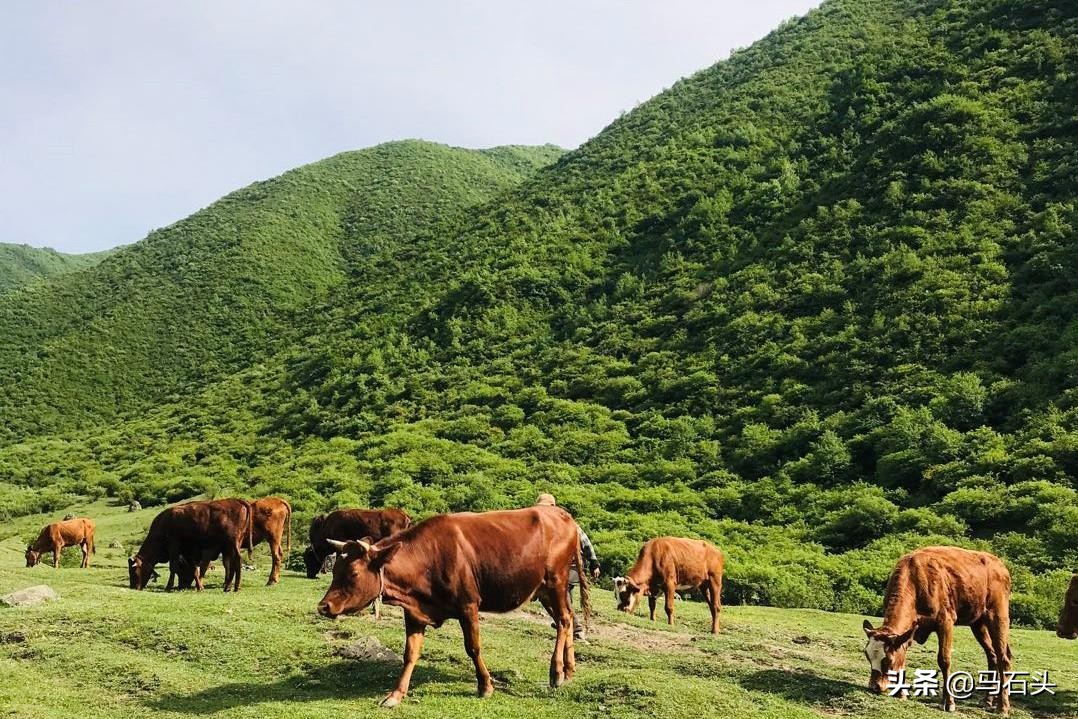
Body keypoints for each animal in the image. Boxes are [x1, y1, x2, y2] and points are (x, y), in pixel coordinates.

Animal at [314, 506, 595, 707]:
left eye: (352, 573)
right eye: (335, 569)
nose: (324, 606)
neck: (428, 560)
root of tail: (563, 516)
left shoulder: (468, 605)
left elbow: (473, 647)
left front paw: (485, 686)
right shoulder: (414, 613)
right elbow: (409, 654)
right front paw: (396, 694)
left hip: (557, 581)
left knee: (564, 620)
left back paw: (556, 673)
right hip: (543, 590)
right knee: (567, 618)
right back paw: (569, 670)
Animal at [858, 547, 1009, 711]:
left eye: (887, 661)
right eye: (867, 656)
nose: (875, 686)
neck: (914, 579)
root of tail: (999, 565)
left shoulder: (945, 621)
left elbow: (944, 660)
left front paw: (949, 702)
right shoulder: (909, 630)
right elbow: (903, 657)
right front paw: (901, 693)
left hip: (998, 615)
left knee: (1003, 657)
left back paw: (1003, 706)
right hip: (978, 622)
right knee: (992, 656)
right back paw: (988, 699)